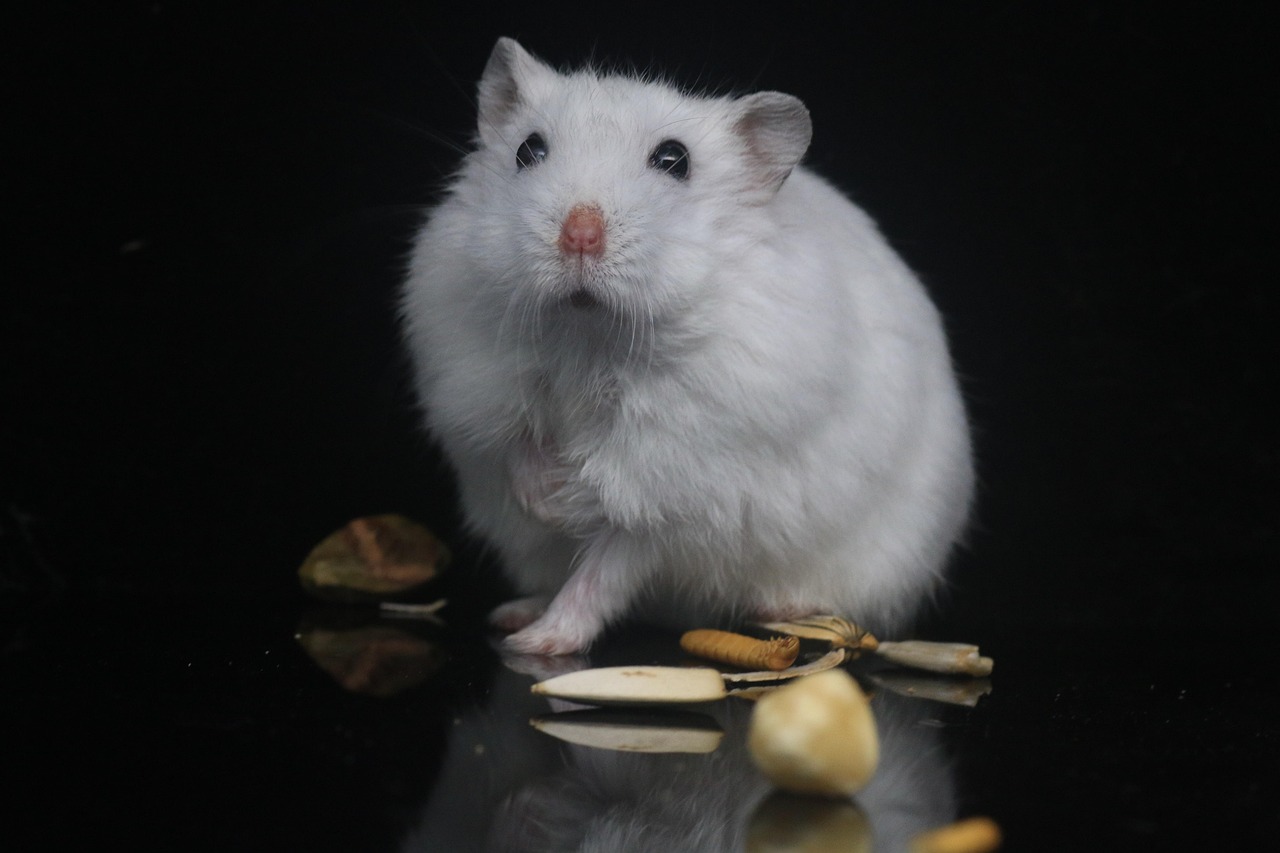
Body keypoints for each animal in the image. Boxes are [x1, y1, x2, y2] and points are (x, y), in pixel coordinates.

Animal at [401, 38, 974, 655]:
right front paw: (545, 501)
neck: (590, 334)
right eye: (528, 149)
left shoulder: (674, 480)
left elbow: (611, 537)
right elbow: (514, 437)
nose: (579, 236)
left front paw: (564, 508)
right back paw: (515, 614)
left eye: (674, 160)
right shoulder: (476, 377)